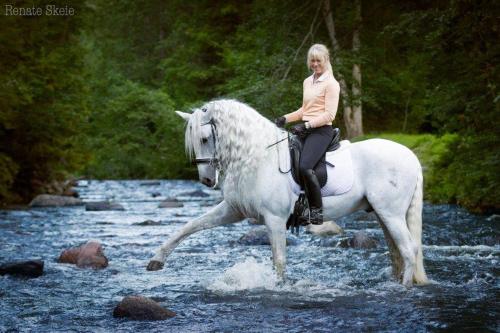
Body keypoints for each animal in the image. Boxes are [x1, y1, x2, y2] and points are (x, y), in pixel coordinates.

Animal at [146, 98, 428, 286]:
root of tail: (412, 157)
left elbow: (279, 259)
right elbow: (190, 226)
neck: (256, 157)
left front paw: (279, 287)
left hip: (390, 213)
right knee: (397, 252)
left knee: (408, 250)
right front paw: (157, 260)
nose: (206, 180)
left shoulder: (274, 219)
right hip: (382, 214)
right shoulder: (234, 209)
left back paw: (403, 288)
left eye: (204, 139)